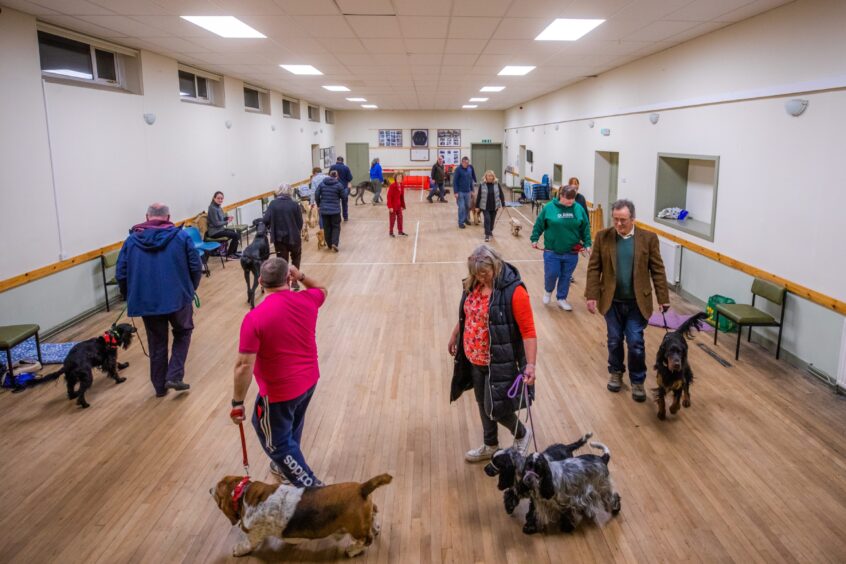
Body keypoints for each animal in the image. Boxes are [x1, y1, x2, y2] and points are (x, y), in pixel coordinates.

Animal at [215, 474, 394, 556]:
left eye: (217, 490)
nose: (210, 489)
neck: (242, 492)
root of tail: (362, 488)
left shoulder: (254, 535)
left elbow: (247, 545)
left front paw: (238, 550)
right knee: (375, 513)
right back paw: (376, 527)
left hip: (356, 529)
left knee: (366, 540)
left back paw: (352, 550)